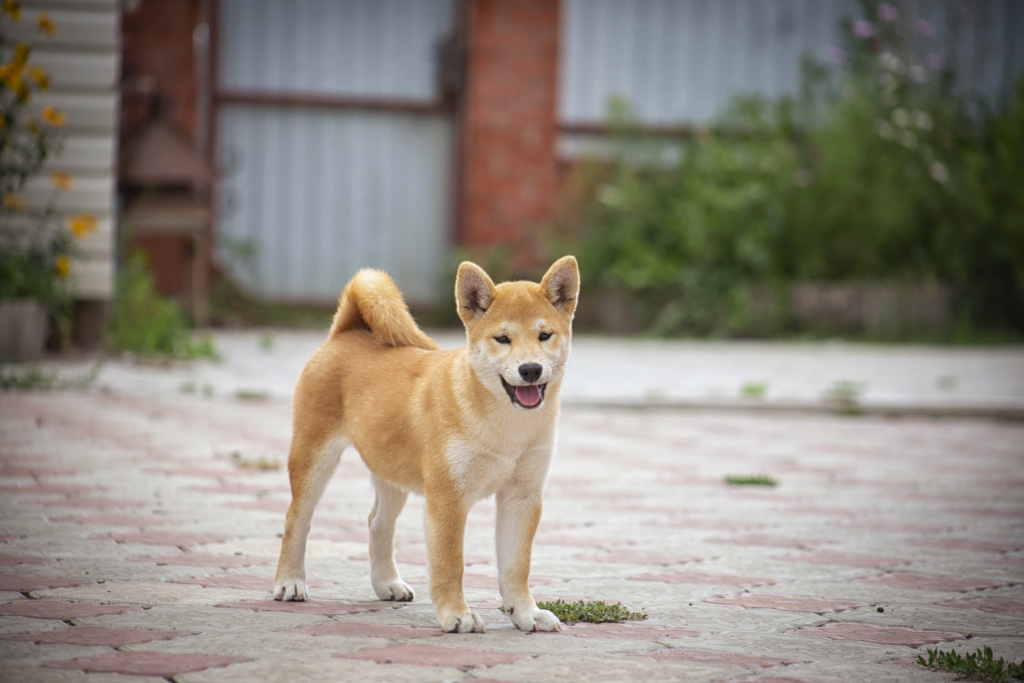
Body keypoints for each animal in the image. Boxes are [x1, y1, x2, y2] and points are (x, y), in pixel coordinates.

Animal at [272, 258, 577, 634]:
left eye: (544, 335)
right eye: (502, 339)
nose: (531, 369)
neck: (506, 428)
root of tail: (346, 332)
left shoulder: (522, 496)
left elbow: (516, 566)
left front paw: (525, 613)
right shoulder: (447, 498)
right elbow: (451, 564)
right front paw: (457, 615)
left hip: (391, 473)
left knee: (377, 523)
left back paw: (387, 583)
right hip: (313, 458)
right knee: (296, 518)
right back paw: (290, 582)